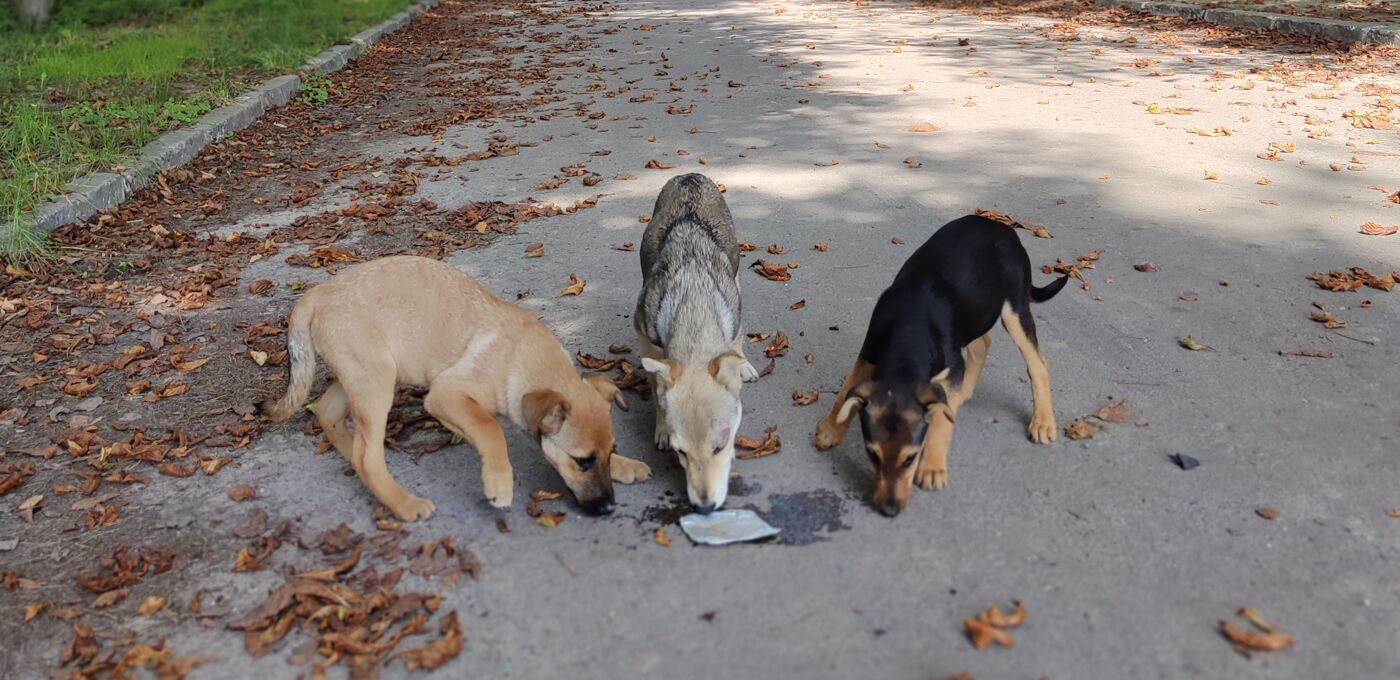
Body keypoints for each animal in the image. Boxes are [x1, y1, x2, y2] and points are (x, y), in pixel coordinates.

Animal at [263, 254, 649, 520]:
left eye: (609, 452)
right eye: (581, 462)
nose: (609, 509)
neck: (519, 357)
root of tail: (320, 292)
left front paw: (626, 465)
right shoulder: (446, 395)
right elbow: (491, 428)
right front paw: (499, 481)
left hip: (365, 375)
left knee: (330, 414)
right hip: (376, 382)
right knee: (366, 456)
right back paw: (404, 503)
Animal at [638, 172, 761, 512]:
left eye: (721, 446)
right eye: (680, 452)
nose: (704, 507)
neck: (694, 308)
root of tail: (688, 176)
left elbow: (734, 345)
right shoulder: (645, 336)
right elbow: (657, 388)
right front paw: (661, 426)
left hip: (736, 277)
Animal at [817, 215, 1064, 517]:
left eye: (910, 459)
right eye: (872, 455)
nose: (889, 510)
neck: (909, 332)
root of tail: (1002, 227)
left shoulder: (952, 367)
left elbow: (942, 422)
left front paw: (933, 468)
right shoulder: (869, 351)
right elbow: (847, 389)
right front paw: (831, 428)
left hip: (1013, 308)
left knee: (1038, 362)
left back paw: (1043, 421)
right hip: (975, 311)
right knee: (983, 343)